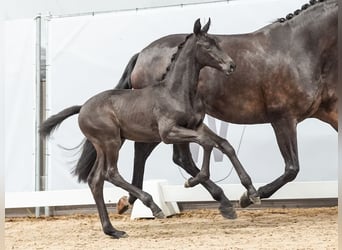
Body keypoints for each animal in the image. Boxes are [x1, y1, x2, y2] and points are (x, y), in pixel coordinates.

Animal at [39, 18, 260, 237]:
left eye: (217, 43)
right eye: (206, 45)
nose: (231, 65)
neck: (176, 92)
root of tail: (82, 107)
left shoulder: (196, 126)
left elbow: (223, 144)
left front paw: (252, 193)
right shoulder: (168, 133)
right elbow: (206, 144)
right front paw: (193, 181)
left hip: (105, 144)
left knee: (96, 180)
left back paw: (112, 230)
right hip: (110, 142)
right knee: (111, 173)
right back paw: (152, 206)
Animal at [109, 0, 336, 213]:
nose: (231, 65)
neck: (299, 48)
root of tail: (142, 54)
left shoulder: (329, 112)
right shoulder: (283, 119)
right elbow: (291, 168)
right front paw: (248, 197)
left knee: (168, 156)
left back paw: (133, 200)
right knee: (169, 155)